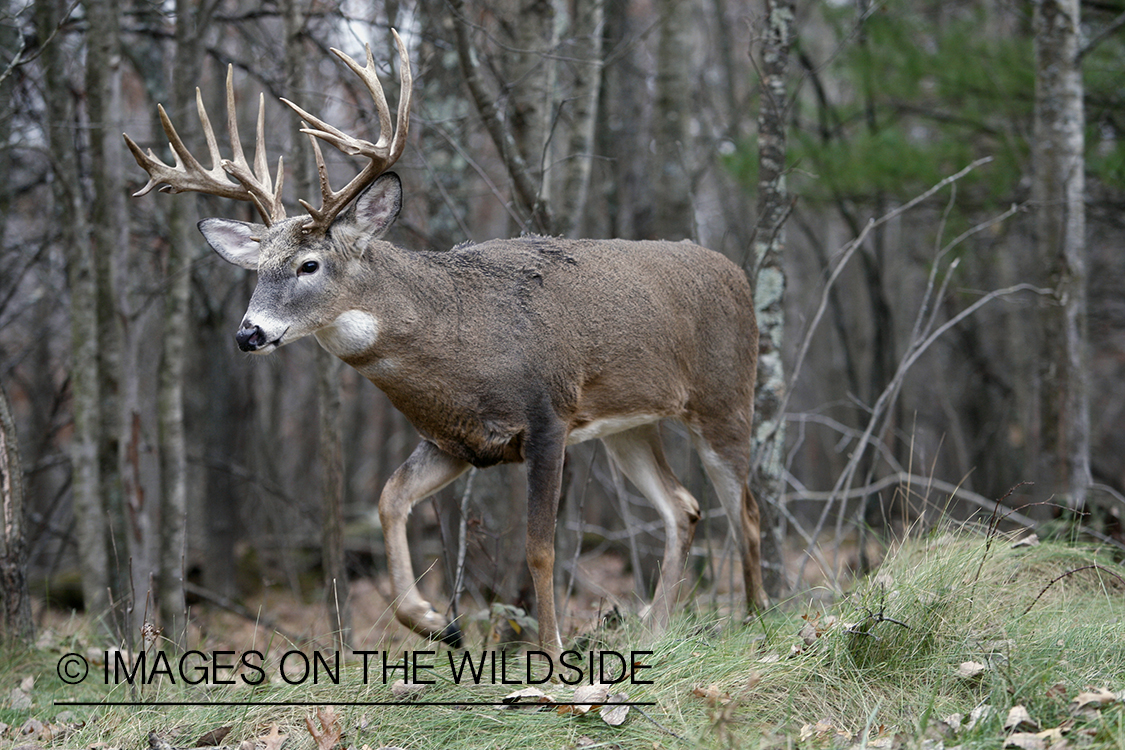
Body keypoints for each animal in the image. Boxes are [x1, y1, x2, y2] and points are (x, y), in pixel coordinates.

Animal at [127, 32, 769, 652]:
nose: (248, 333)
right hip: (630, 425)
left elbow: (540, 548)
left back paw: (759, 619)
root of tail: (738, 274)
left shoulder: (548, 418)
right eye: (258, 269)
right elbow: (390, 498)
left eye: (310, 264)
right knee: (684, 507)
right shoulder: (457, 441)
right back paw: (657, 632)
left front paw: (553, 651)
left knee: (745, 509)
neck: (458, 346)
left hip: (725, 398)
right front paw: (437, 622)